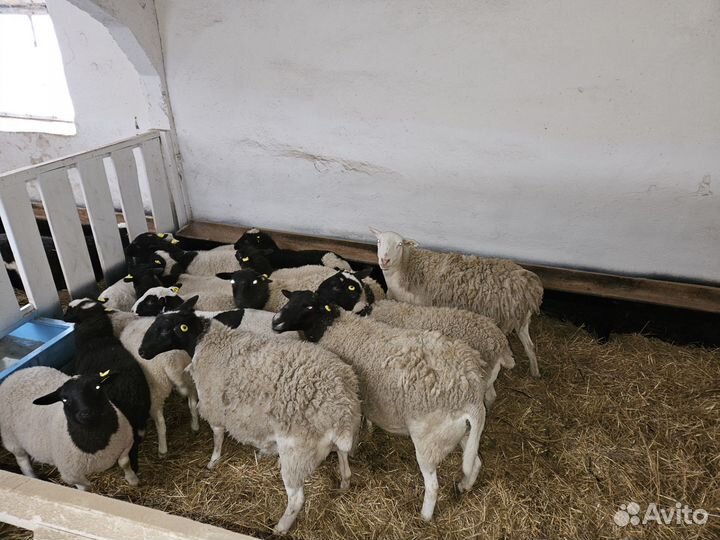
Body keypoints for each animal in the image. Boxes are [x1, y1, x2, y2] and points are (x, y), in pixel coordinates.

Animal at [0, 367, 138, 490]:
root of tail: (16, 374)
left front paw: (133, 480)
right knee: (22, 460)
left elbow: (125, 463)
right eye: (64, 399)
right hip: (11, 439)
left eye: (97, 387)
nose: (85, 413)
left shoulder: (127, 442)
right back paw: (32, 477)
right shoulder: (71, 475)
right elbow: (85, 487)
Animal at [138, 296, 362, 534]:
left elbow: (217, 435)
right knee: (343, 458)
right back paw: (343, 484)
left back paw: (281, 527)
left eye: (164, 329)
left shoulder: (215, 405)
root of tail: (342, 405)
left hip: (298, 450)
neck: (206, 342)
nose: (141, 352)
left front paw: (213, 461)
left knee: (297, 498)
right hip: (330, 441)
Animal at [272, 289, 489, 521]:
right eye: (290, 299)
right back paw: (464, 486)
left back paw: (424, 517)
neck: (333, 325)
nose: (275, 322)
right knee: (475, 462)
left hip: (428, 441)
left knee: (433, 486)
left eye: (309, 306)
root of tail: (471, 394)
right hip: (462, 434)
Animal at [316, 269, 514, 409]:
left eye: (335, 286)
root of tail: (500, 342)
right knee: (491, 395)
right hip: (488, 376)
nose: (316, 292)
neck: (367, 309)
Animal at [370, 228, 544, 377]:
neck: (405, 268)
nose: (385, 260)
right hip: (522, 320)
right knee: (530, 346)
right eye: (379, 241)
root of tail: (531, 285)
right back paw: (535, 372)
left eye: (399, 244)